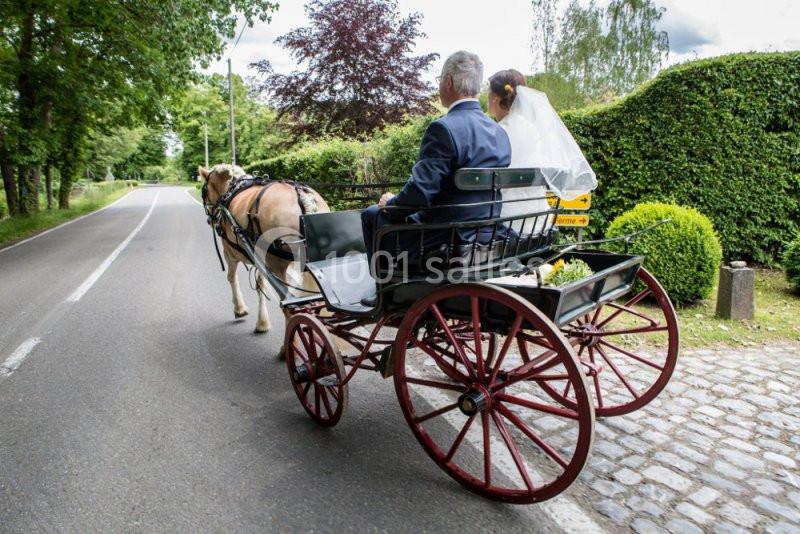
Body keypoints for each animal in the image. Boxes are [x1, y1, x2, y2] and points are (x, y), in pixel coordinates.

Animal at [199, 164, 329, 335]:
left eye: (205, 190)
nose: (209, 220)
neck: (231, 190)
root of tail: (301, 195)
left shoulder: (230, 253)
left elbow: (232, 277)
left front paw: (240, 309)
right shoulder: (260, 257)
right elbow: (261, 285)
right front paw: (262, 323)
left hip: (276, 263)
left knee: (289, 305)